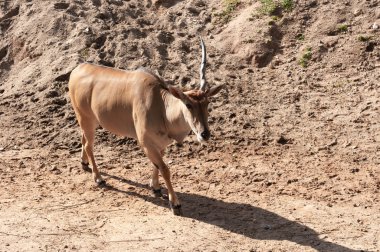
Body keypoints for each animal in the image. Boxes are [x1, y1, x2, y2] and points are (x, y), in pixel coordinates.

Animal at [69, 38, 223, 215]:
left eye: (207, 103)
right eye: (188, 105)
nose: (205, 134)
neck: (161, 105)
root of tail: (76, 71)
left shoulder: (159, 145)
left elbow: (157, 166)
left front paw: (155, 187)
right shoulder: (146, 143)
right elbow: (165, 169)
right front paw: (175, 203)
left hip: (89, 121)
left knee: (83, 139)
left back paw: (84, 163)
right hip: (86, 119)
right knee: (89, 145)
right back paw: (99, 178)